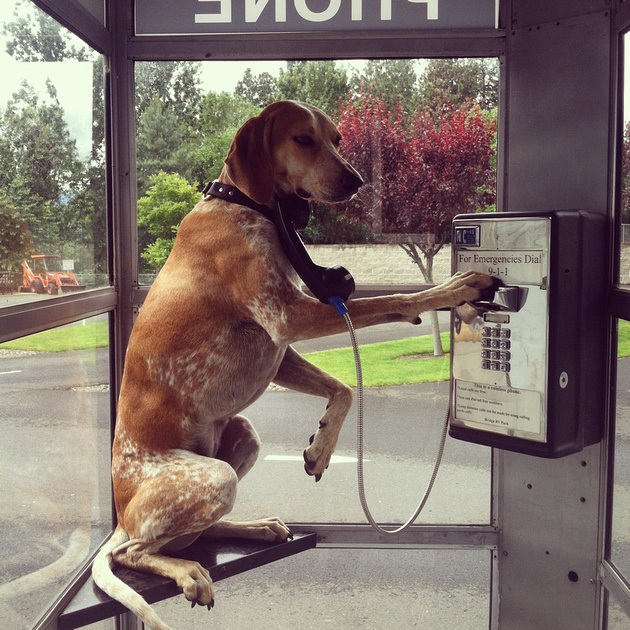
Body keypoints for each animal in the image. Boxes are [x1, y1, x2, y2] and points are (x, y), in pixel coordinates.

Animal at [91, 101, 494, 628]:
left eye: (338, 139)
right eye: (303, 139)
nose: (355, 180)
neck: (246, 206)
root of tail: (120, 518)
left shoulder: (280, 348)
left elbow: (344, 388)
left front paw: (322, 447)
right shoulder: (289, 317)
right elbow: (399, 299)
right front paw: (453, 289)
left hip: (243, 436)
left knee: (198, 532)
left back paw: (255, 527)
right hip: (210, 479)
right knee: (136, 552)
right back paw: (186, 570)